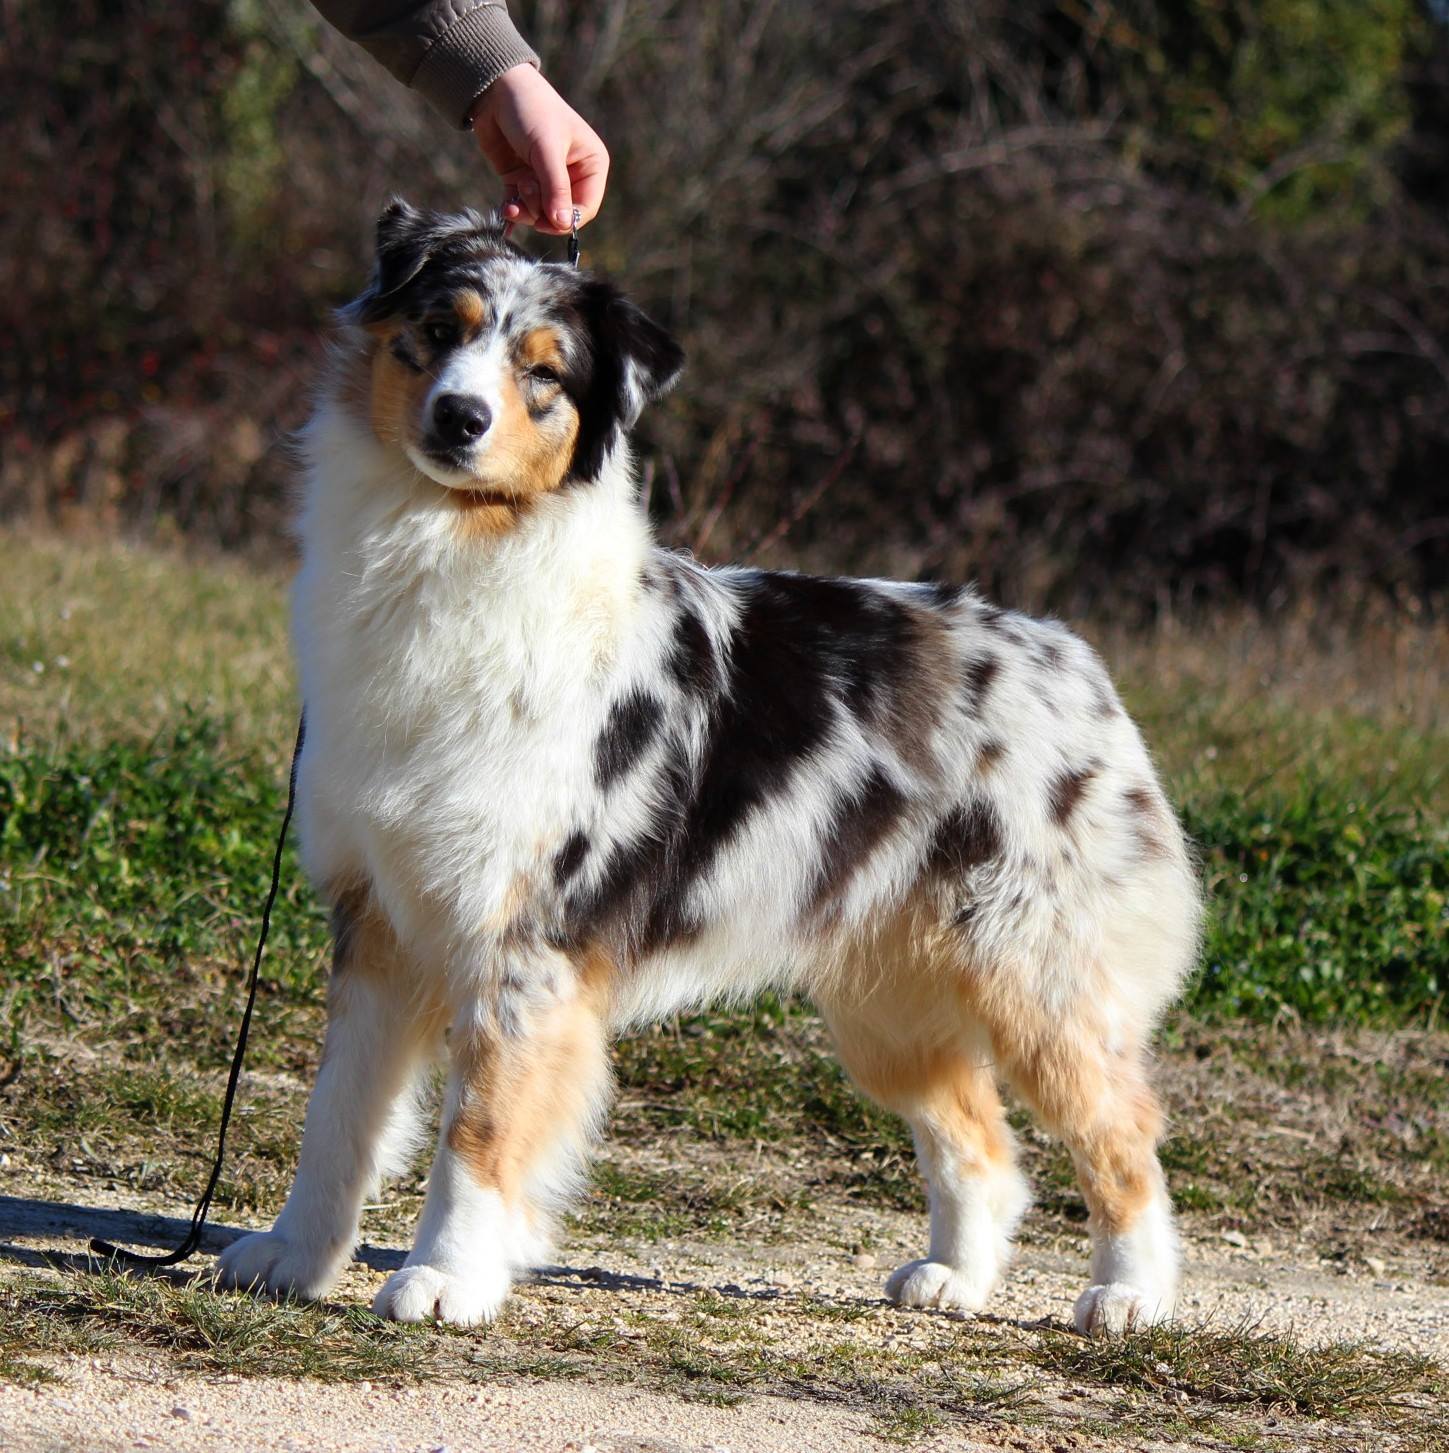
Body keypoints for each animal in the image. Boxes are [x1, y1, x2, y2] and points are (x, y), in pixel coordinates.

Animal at [215, 199, 1197, 1330]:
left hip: (1039, 981)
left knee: (1125, 1139)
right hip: (889, 1005)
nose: (459, 417)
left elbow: (479, 1131)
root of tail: (1074, 660)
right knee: (982, 1145)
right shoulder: (378, 920)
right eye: (438, 329)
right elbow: (338, 1118)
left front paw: (446, 1279)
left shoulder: (525, 945)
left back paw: (1127, 1296)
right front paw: (293, 1255)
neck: (457, 544)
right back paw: (953, 1277)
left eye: (544, 372)